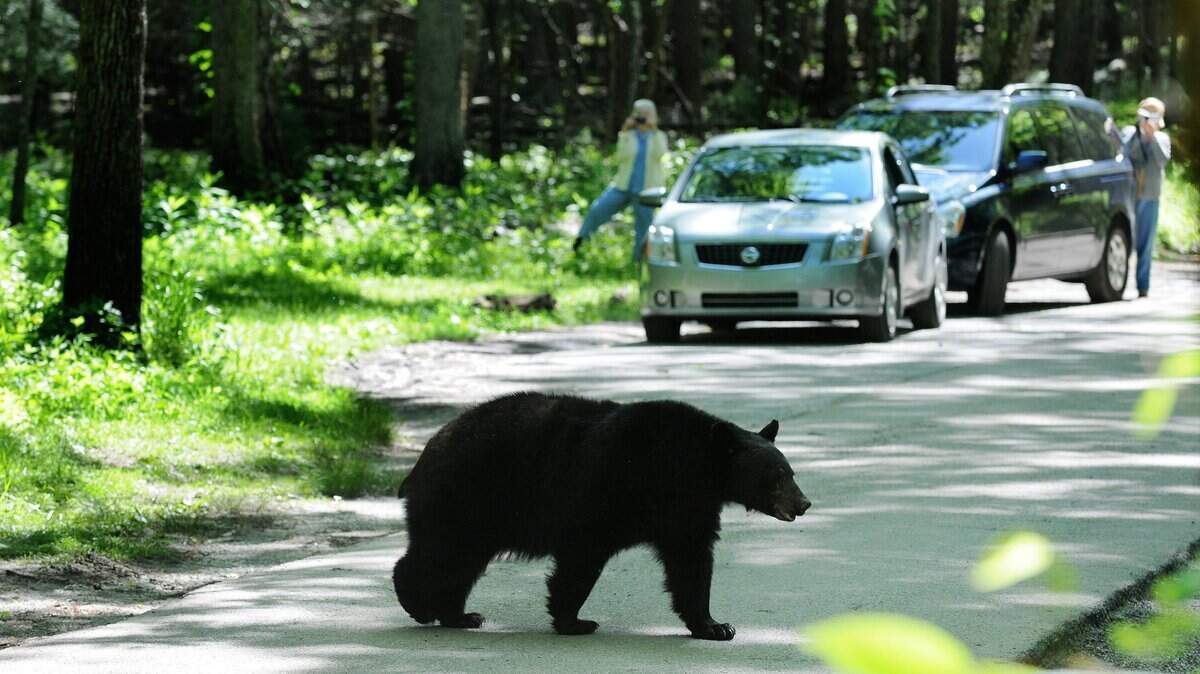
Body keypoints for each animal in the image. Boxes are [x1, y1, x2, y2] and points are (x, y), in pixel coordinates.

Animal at [392, 392, 811, 641]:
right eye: (777, 475)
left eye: (790, 471)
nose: (804, 503)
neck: (692, 466)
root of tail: (424, 455)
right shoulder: (607, 494)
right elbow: (582, 557)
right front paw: (575, 621)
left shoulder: (688, 509)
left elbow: (691, 562)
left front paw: (714, 625)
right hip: (466, 498)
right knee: (440, 555)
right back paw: (418, 604)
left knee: (461, 564)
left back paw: (459, 615)